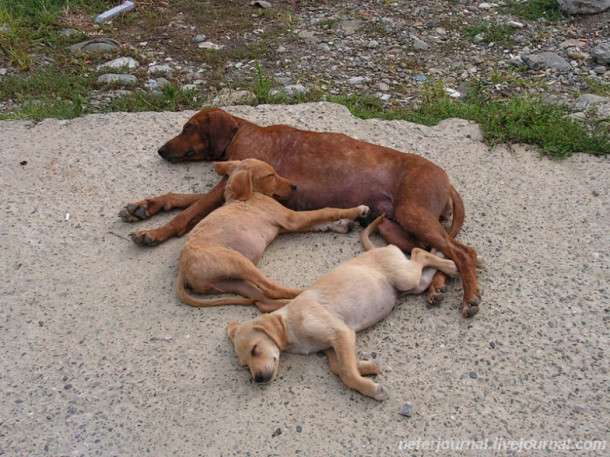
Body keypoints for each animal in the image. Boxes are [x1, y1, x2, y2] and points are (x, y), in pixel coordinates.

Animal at [173, 159, 368, 312]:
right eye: (270, 175)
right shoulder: (291, 218)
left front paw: (342, 224)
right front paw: (357, 210)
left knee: (263, 301)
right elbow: (326, 210)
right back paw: (307, 293)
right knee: (271, 289)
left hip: (230, 282)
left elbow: (318, 222)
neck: (251, 194)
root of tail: (183, 271)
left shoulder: (285, 225)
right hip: (237, 261)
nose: (295, 186)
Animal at [226, 214, 458, 400]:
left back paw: (451, 265)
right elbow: (339, 366)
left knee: (419, 252)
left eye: (255, 350)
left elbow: (346, 371)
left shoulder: (341, 333)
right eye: (245, 365)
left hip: (405, 277)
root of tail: (378, 248)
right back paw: (444, 262)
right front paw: (368, 366)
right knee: (424, 271)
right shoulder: (331, 345)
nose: (258, 379)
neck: (290, 325)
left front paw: (370, 388)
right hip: (412, 285)